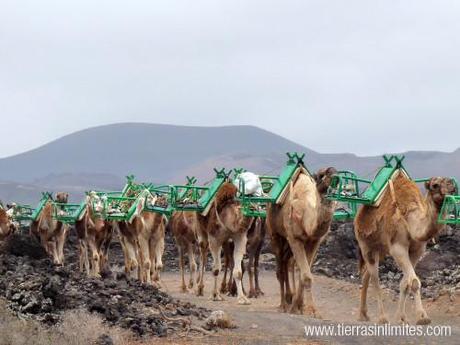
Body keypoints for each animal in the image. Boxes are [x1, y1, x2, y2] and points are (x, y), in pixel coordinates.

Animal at [266, 167, 338, 314]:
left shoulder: (314, 241)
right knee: (280, 268)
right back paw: (283, 305)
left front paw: (300, 306)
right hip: (275, 234)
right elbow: (306, 276)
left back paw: (289, 297)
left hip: (287, 243)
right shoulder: (294, 238)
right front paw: (307, 310)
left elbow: (304, 274)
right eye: (320, 175)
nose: (335, 176)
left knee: (286, 262)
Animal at [356, 173, 456, 324]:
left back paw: (363, 314)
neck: (410, 218)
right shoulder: (398, 248)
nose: (452, 185)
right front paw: (422, 318)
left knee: (366, 274)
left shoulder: (417, 250)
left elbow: (405, 283)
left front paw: (401, 317)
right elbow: (414, 281)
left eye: (449, 180)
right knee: (375, 278)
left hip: (380, 249)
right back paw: (382, 318)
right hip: (366, 245)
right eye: (435, 185)